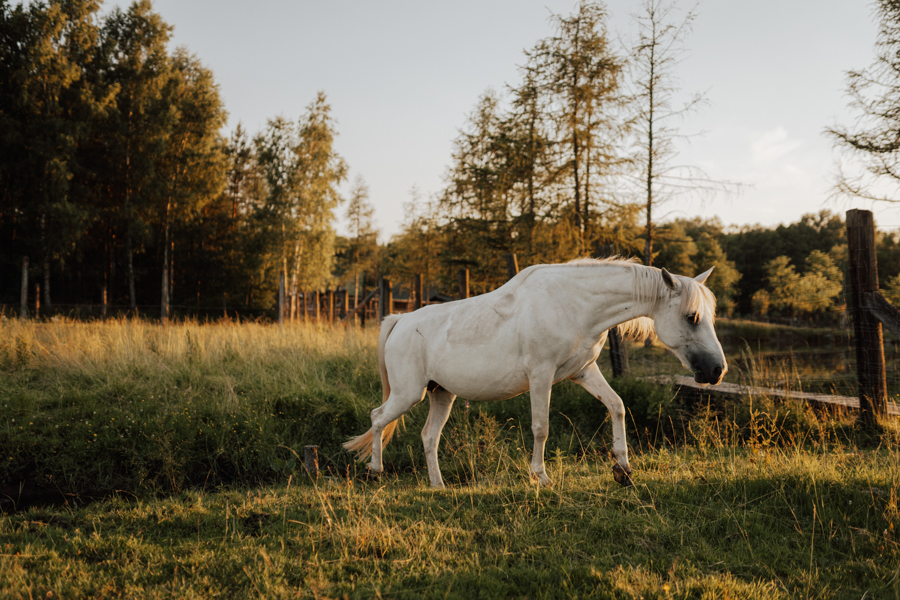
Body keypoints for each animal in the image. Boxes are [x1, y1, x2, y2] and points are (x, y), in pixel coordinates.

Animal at [342, 258, 728, 488]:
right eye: (692, 316)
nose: (717, 370)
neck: (573, 304)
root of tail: (400, 319)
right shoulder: (541, 376)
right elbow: (541, 427)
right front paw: (540, 476)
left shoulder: (583, 372)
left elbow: (617, 406)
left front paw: (623, 469)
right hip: (409, 393)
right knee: (378, 418)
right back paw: (375, 471)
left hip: (441, 394)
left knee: (428, 436)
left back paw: (438, 485)